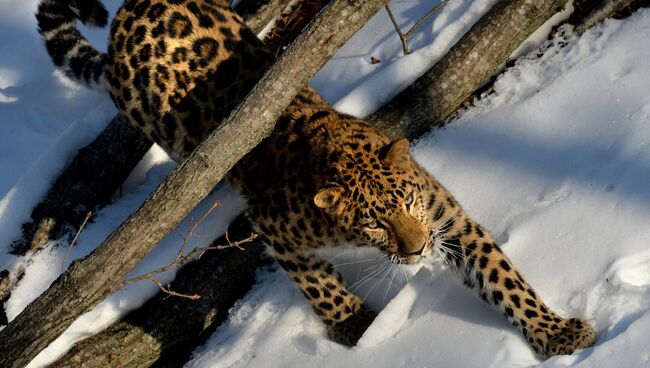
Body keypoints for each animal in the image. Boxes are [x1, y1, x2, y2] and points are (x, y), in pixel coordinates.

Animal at [34, 0, 592, 356]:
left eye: (407, 203)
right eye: (373, 223)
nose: (416, 251)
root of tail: (126, 16)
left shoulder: (448, 219)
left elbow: (504, 279)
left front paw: (556, 333)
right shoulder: (274, 226)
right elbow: (320, 286)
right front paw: (359, 330)